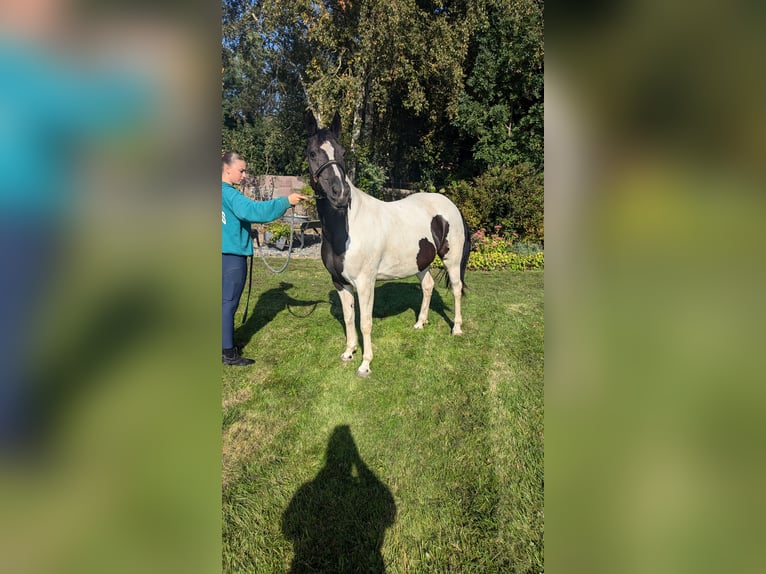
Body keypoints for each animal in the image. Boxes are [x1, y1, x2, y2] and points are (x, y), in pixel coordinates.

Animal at [304, 112, 472, 378]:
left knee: (456, 289)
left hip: (452, 260)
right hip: (420, 262)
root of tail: (451, 206)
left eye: (342, 152)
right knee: (428, 286)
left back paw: (456, 328)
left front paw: (365, 364)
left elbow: (365, 322)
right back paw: (420, 323)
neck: (346, 228)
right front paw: (348, 352)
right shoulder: (340, 283)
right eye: (312, 153)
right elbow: (349, 318)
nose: (340, 194)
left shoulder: (365, 283)